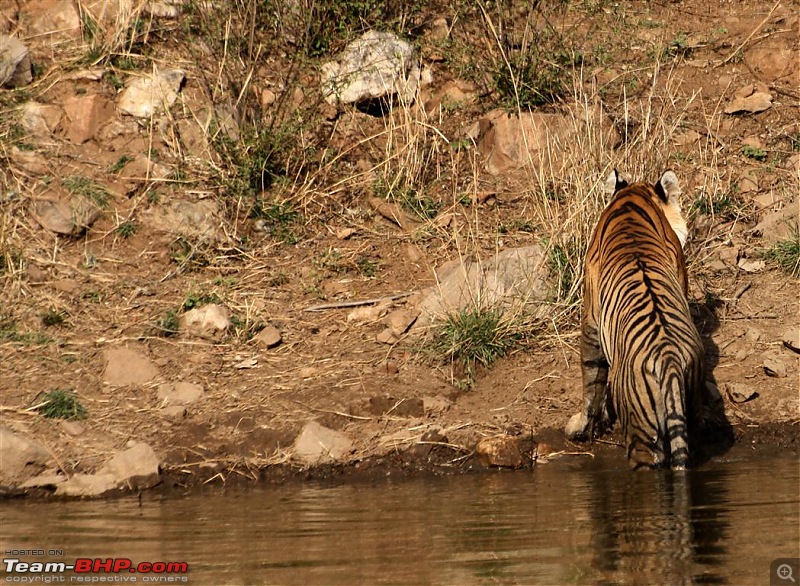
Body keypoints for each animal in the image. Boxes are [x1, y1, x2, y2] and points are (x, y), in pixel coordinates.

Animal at [564, 169, 708, 470]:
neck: (633, 198)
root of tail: (669, 362)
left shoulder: (591, 319)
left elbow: (591, 380)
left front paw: (580, 428)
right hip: (691, 410)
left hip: (642, 435)